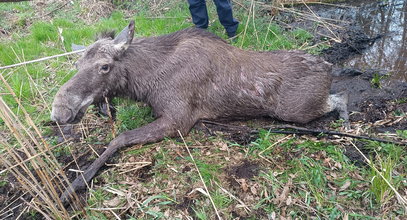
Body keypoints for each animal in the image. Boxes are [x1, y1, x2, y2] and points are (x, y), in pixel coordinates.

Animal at [51, 20, 350, 201]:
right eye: (77, 65)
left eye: (105, 66)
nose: (60, 111)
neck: (143, 83)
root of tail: (328, 67)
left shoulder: (178, 119)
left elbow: (119, 139)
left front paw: (75, 186)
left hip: (298, 110)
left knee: (341, 97)